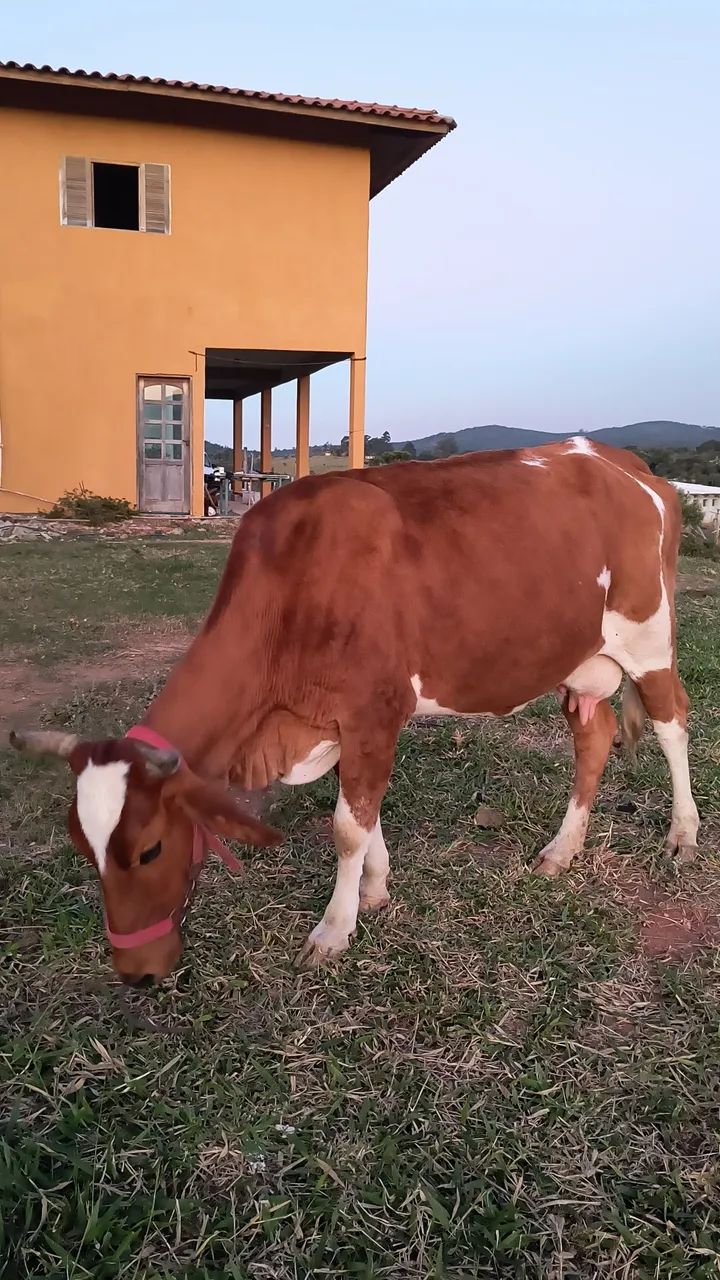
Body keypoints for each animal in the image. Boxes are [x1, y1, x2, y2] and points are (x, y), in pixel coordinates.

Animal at [11, 439, 699, 986]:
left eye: (151, 850)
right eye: (83, 847)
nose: (135, 973)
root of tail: (624, 462)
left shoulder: (374, 710)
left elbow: (347, 825)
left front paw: (333, 930)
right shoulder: (345, 723)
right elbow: (364, 816)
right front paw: (374, 888)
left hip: (649, 640)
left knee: (673, 723)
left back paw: (683, 834)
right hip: (576, 660)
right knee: (595, 736)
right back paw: (562, 850)